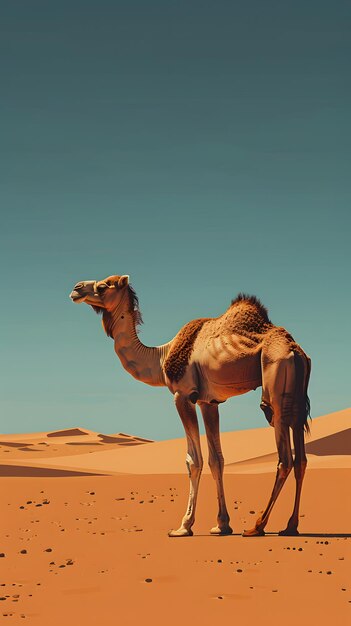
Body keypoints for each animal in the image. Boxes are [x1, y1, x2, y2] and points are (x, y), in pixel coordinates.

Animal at [70, 272, 312, 536]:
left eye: (104, 286)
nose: (76, 289)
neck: (161, 357)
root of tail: (295, 351)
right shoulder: (209, 401)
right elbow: (217, 460)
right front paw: (221, 525)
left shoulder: (183, 395)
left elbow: (193, 461)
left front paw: (183, 526)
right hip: (296, 398)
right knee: (300, 459)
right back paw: (290, 526)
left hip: (275, 388)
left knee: (284, 458)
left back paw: (257, 526)